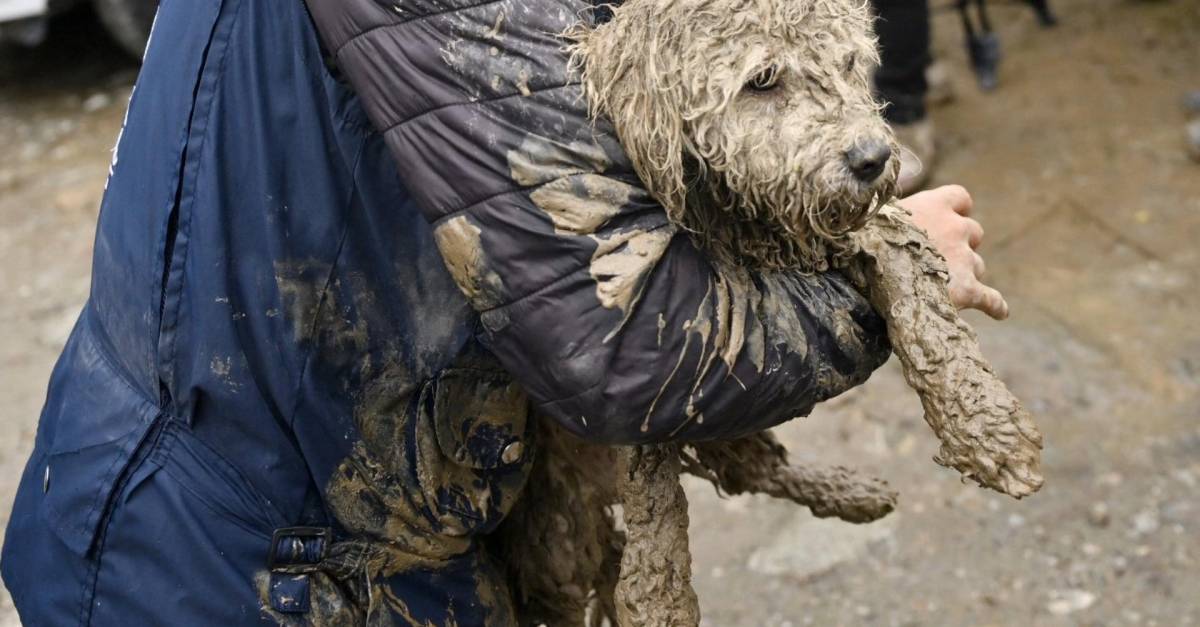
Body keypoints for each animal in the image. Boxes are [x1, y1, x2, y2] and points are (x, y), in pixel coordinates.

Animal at [492, 2, 1046, 619]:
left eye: (848, 62)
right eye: (762, 80)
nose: (874, 158)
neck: (739, 215)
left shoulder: (834, 233)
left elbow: (915, 289)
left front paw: (988, 431)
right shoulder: (670, 337)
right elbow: (651, 471)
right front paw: (659, 592)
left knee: (752, 467)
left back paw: (853, 494)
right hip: (556, 528)